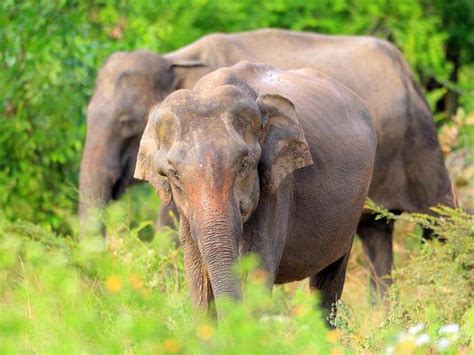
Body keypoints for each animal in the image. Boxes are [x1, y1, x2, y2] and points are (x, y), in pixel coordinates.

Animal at [79, 27, 454, 294]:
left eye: (127, 124)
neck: (179, 58)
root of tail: (407, 69)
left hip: (421, 143)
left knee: (440, 224)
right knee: (375, 233)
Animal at [133, 62, 378, 322]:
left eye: (245, 164)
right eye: (174, 173)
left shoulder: (279, 185)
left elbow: (255, 270)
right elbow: (198, 277)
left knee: (328, 283)